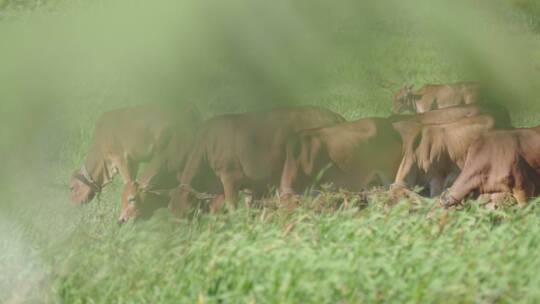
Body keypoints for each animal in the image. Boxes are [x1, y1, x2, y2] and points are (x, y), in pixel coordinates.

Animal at [68, 103, 201, 205]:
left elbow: (127, 181)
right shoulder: (133, 162)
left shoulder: (121, 159)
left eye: (72, 187)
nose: (73, 203)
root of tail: (189, 111)